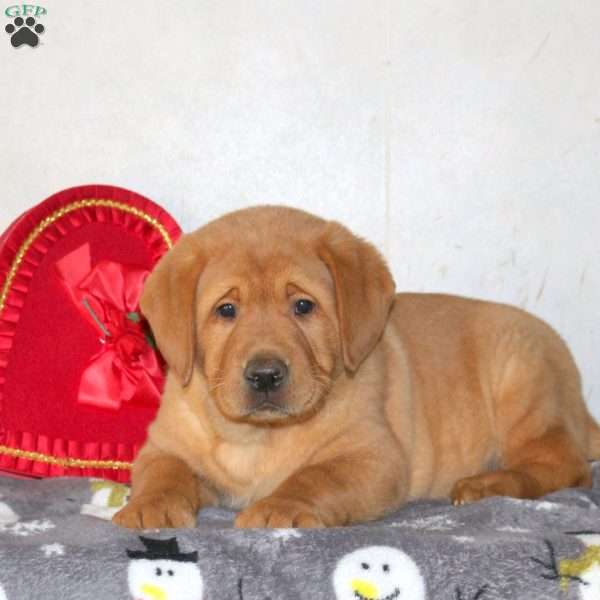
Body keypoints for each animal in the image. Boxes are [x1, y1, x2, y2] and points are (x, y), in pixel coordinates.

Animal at [113, 206, 600, 528]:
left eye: (303, 306)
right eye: (226, 310)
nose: (266, 375)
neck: (258, 437)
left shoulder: (374, 456)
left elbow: (315, 476)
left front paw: (280, 507)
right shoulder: (165, 444)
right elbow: (163, 472)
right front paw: (148, 507)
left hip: (524, 382)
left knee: (564, 465)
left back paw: (488, 485)